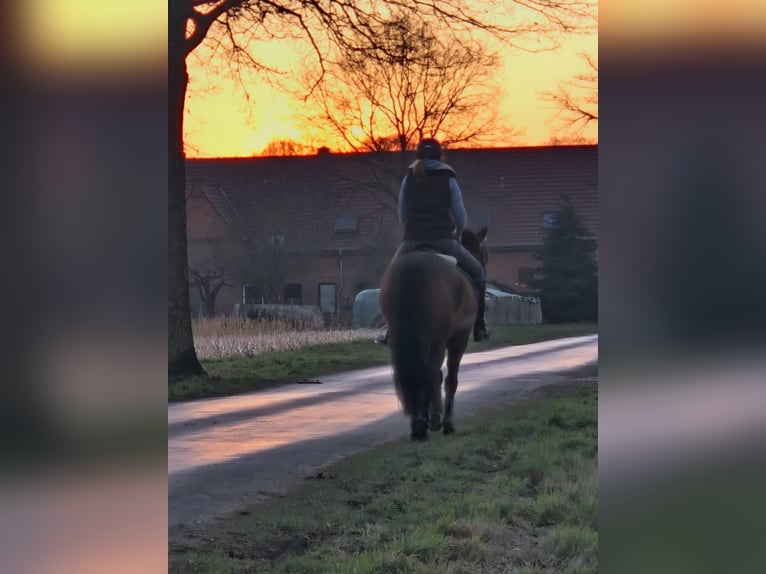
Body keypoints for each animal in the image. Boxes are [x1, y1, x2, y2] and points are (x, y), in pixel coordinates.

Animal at [379, 227, 488, 441]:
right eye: (483, 255)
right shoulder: (457, 341)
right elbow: (449, 380)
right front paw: (445, 422)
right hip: (437, 340)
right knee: (430, 373)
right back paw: (430, 423)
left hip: (406, 339)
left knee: (411, 375)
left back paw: (417, 425)